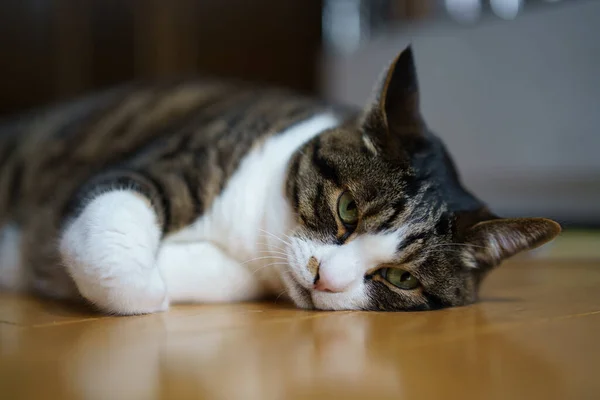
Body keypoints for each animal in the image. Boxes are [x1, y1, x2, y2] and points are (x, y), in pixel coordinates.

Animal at [1, 47, 564, 314]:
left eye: (402, 279)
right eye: (346, 209)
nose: (324, 279)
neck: (254, 233)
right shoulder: (174, 159)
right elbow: (116, 254)